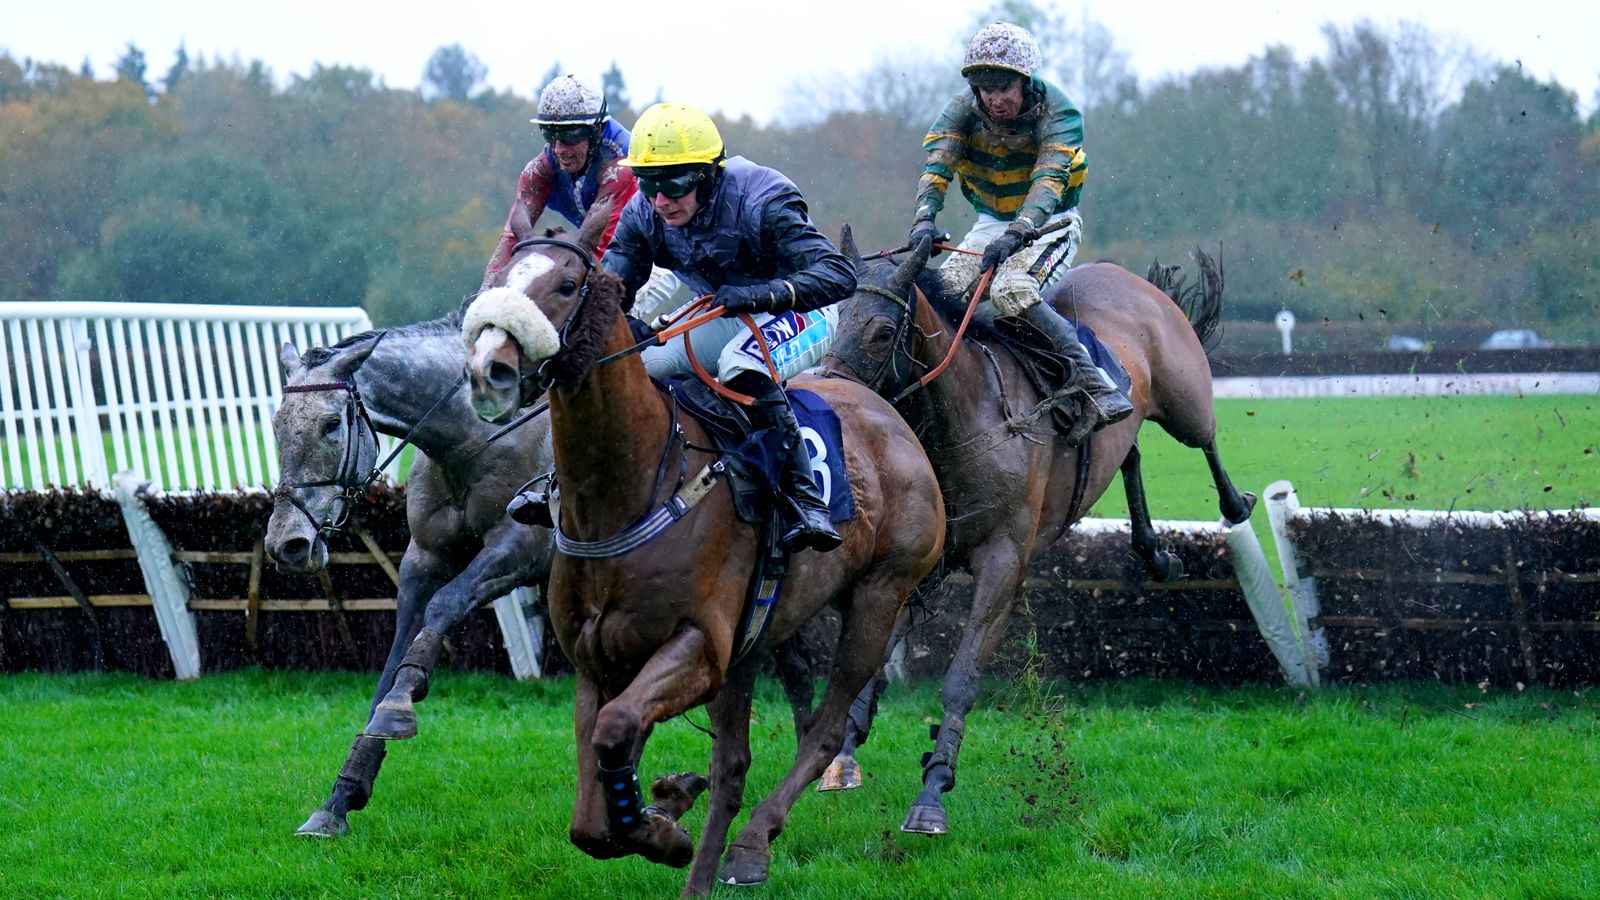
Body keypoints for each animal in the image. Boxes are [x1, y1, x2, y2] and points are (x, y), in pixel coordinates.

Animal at [264, 313, 556, 832]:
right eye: (278, 424)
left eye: (331, 424)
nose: (287, 545)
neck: (474, 437)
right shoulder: (424, 558)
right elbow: (397, 654)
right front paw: (340, 797)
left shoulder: (521, 549)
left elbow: (444, 606)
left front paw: (397, 710)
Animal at [457, 204, 940, 890]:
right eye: (496, 279)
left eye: (567, 285)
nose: (487, 372)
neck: (627, 492)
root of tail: (886, 410)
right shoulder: (596, 659)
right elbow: (590, 821)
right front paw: (662, 805)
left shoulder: (701, 647)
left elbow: (617, 732)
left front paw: (662, 828)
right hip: (755, 643)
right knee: (734, 767)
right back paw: (707, 867)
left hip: (879, 596)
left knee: (824, 731)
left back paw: (752, 845)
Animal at [819, 230, 1254, 832]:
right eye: (835, 318)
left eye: (884, 330)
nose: (832, 396)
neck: (965, 416)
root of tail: (1123, 275)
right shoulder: (921, 562)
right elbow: (872, 659)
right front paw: (843, 756)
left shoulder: (1003, 562)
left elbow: (961, 677)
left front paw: (933, 790)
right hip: (1125, 429)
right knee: (1131, 453)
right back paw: (1154, 553)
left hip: (1184, 398)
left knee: (1206, 436)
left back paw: (1234, 506)